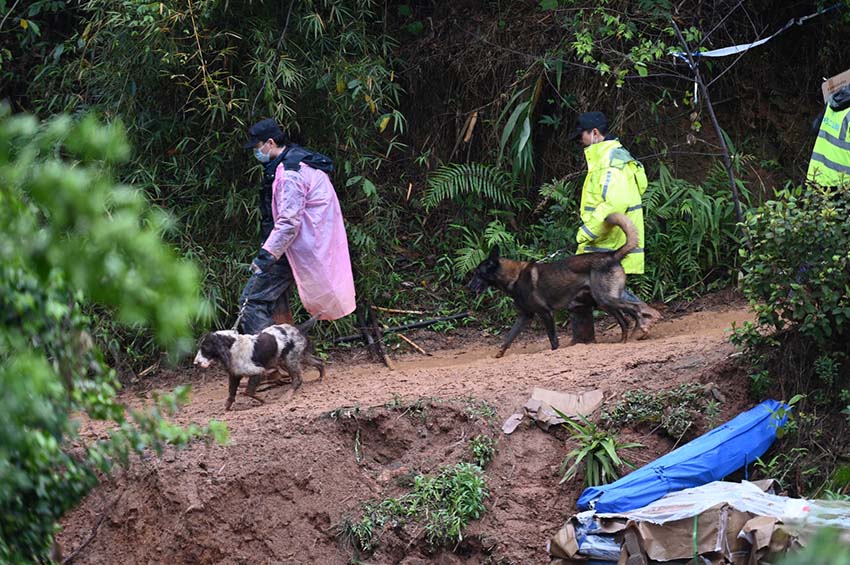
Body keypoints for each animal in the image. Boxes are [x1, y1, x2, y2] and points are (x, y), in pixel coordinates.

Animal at [194, 318, 322, 410]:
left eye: (205, 348)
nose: (195, 363)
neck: (232, 346)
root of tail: (298, 328)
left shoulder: (258, 371)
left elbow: (248, 392)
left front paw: (262, 401)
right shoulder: (235, 375)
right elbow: (231, 394)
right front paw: (226, 408)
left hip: (290, 360)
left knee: (298, 379)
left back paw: (288, 394)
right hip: (294, 358)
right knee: (320, 362)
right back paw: (320, 378)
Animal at [468, 212, 640, 356]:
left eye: (477, 274)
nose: (467, 287)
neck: (515, 277)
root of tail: (611, 255)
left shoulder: (546, 313)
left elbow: (553, 341)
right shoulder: (525, 316)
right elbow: (509, 338)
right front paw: (499, 354)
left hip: (605, 299)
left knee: (634, 308)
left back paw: (640, 329)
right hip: (603, 302)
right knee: (624, 320)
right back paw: (624, 340)